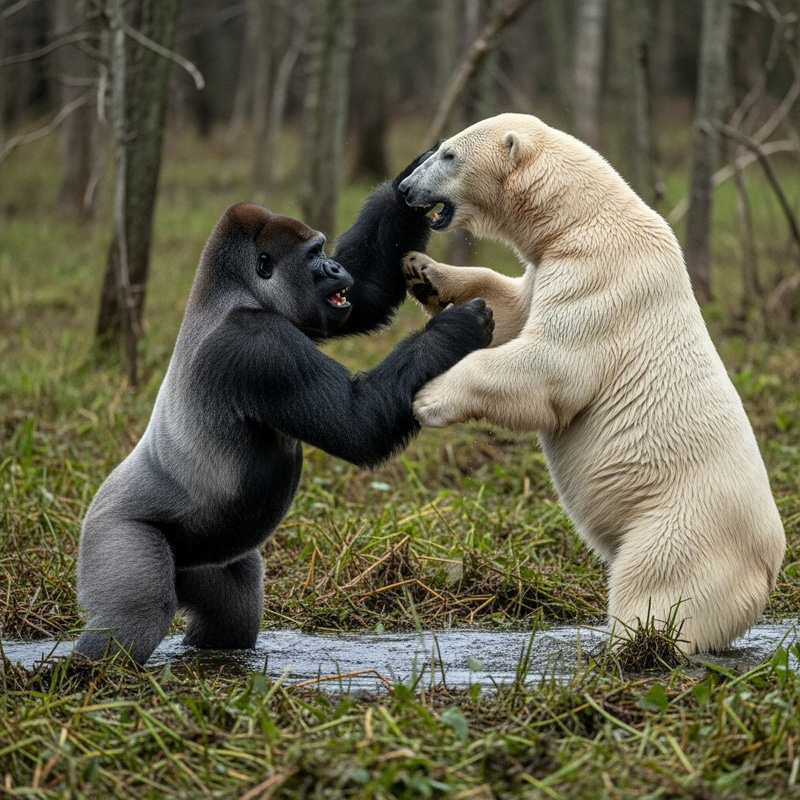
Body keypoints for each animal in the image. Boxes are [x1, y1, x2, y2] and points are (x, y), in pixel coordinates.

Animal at [397, 112, 786, 655]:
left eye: (449, 154)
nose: (405, 187)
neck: (581, 219)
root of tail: (766, 573)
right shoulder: (548, 267)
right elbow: (511, 308)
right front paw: (423, 271)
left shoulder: (600, 278)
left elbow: (549, 367)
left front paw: (429, 397)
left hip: (681, 527)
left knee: (656, 588)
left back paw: (630, 645)